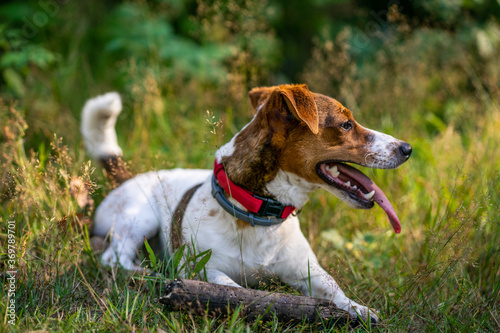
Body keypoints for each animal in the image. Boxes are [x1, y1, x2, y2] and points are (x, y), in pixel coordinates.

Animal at [81, 83, 410, 322]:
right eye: (345, 125)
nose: (407, 148)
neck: (259, 214)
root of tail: (127, 176)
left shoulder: (306, 270)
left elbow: (333, 288)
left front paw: (358, 309)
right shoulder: (204, 268)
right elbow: (230, 289)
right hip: (139, 218)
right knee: (114, 258)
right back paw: (149, 273)